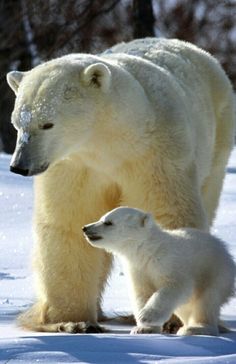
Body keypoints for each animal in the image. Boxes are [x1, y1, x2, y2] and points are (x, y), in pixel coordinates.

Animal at [6, 37, 234, 332]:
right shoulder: (74, 166)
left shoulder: (154, 154)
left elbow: (167, 212)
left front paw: (169, 320)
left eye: (47, 124)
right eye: (17, 123)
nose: (19, 166)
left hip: (218, 138)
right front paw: (72, 321)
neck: (110, 142)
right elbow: (68, 222)